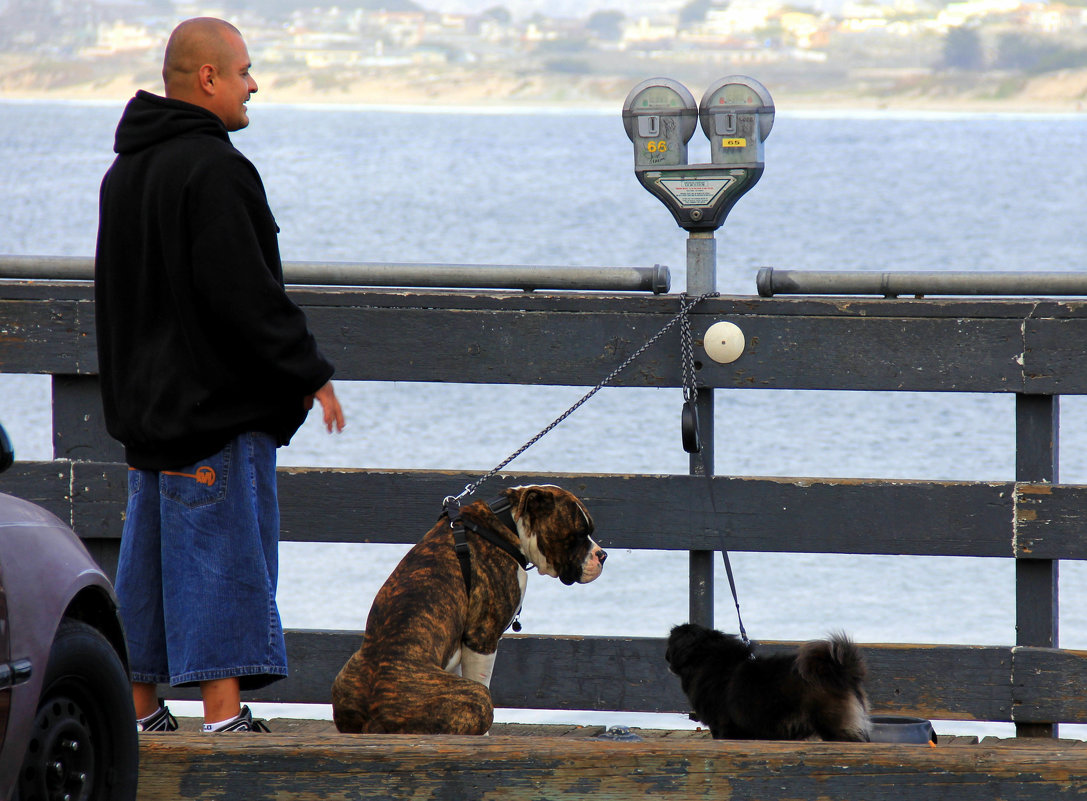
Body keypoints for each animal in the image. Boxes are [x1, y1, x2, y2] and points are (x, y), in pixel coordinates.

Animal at [328, 484, 604, 734]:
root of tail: (372, 713)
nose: (603, 555)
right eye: (579, 534)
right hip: (476, 696)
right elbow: (481, 676)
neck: (507, 525)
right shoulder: (482, 637)